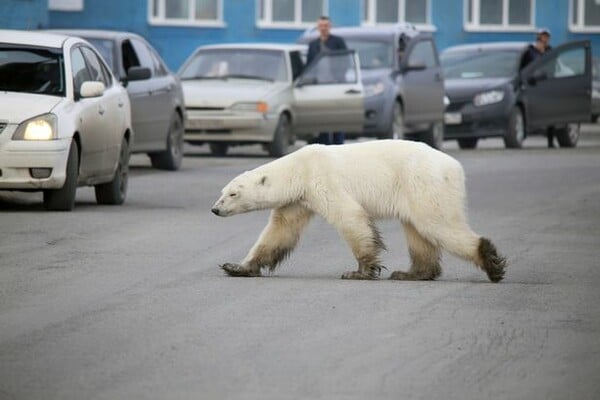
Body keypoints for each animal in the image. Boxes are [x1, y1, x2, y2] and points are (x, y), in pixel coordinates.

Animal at [211, 140, 506, 282]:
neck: (299, 169)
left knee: (436, 223)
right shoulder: (298, 200)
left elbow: (350, 217)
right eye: (222, 191)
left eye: (233, 194)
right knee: (418, 231)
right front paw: (236, 266)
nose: (214, 209)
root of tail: (455, 166)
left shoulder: (322, 180)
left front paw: (360, 271)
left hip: (423, 182)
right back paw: (411, 273)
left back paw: (491, 261)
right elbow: (280, 231)